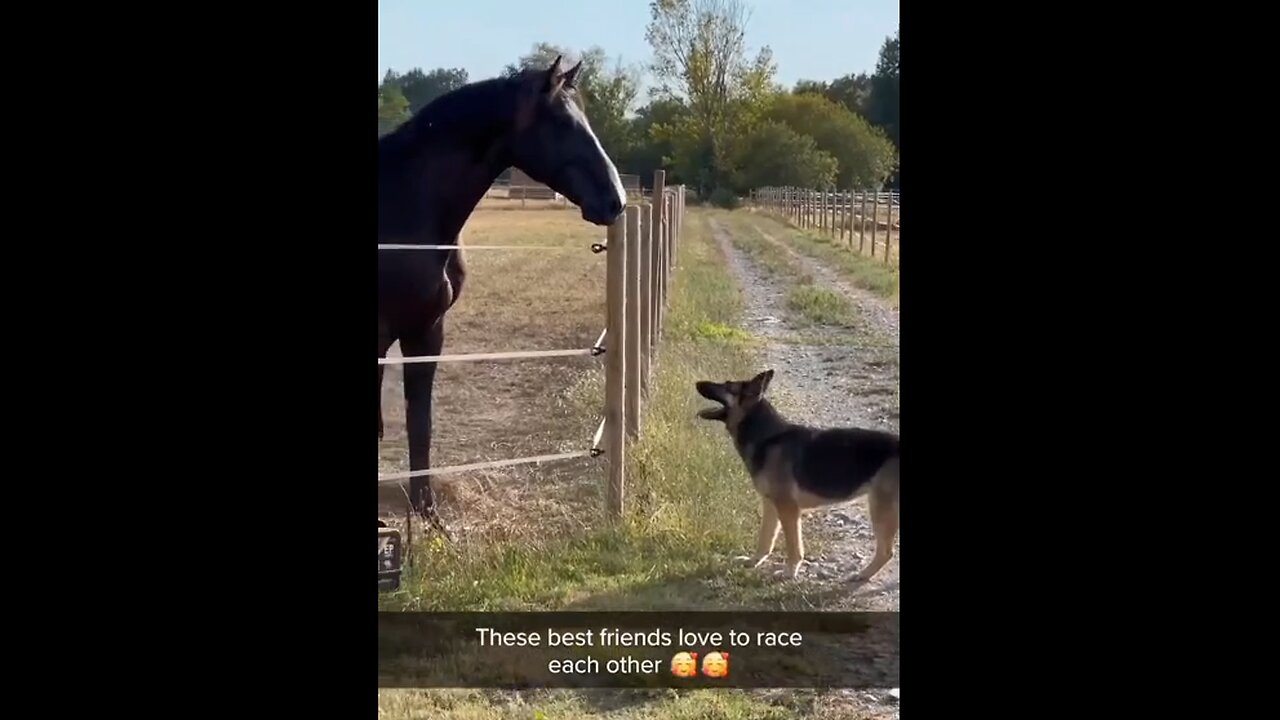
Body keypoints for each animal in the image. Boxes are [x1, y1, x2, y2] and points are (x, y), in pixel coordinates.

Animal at [376, 56, 627, 525]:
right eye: (561, 121)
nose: (615, 200)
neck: (404, 205)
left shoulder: (427, 332)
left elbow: (420, 424)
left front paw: (429, 514)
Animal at [696, 368, 896, 576]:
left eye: (727, 385)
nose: (697, 383)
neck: (766, 435)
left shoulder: (788, 508)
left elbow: (793, 545)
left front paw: (790, 571)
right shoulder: (770, 505)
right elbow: (765, 539)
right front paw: (754, 561)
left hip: (880, 509)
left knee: (886, 552)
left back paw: (862, 575)